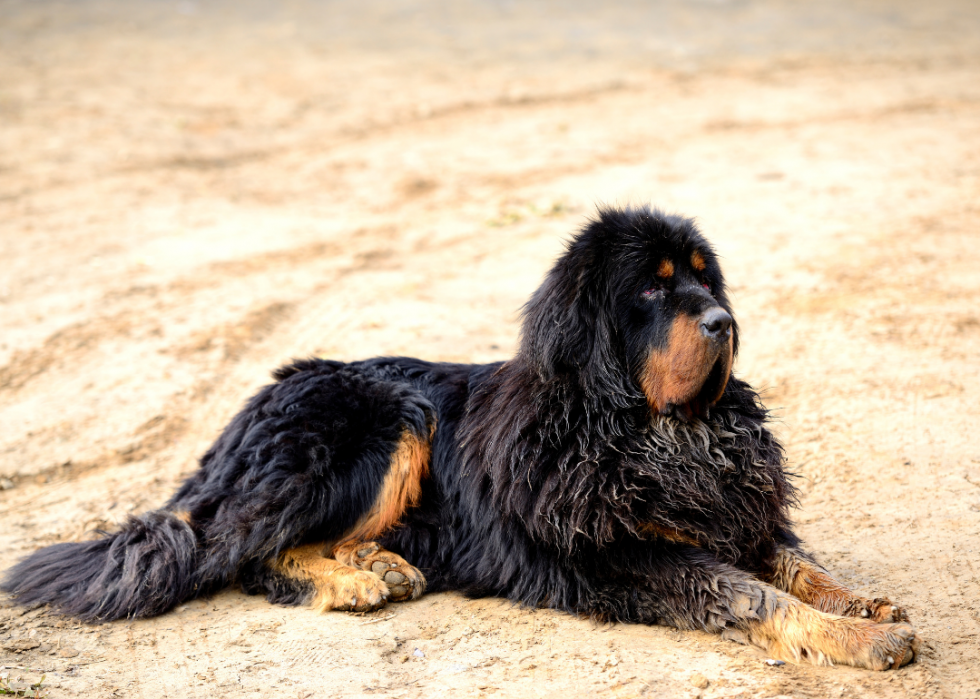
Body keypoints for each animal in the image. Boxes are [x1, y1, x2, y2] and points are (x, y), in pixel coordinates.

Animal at [0, 209, 920, 672]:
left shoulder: (729, 511)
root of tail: (242, 415)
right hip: (384, 415)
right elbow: (751, 594)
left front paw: (861, 604)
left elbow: (796, 563)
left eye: (705, 277)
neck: (652, 432)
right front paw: (860, 640)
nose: (726, 321)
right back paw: (354, 581)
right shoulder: (625, 556)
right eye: (656, 291)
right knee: (245, 553)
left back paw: (381, 563)